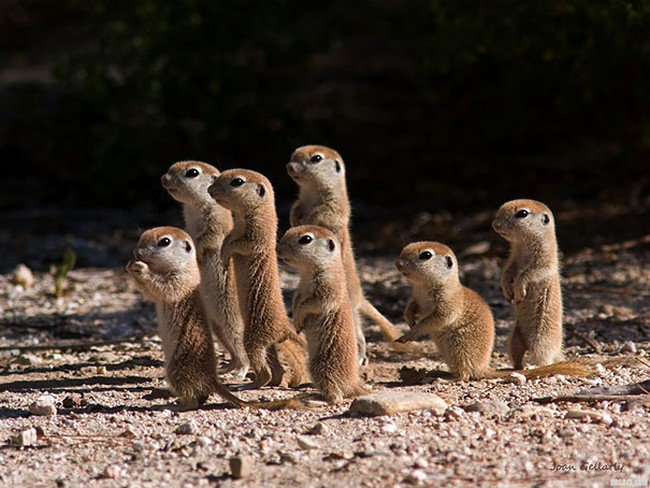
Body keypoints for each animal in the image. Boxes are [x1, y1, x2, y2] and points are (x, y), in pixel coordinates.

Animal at [288, 145, 400, 362]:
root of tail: (360, 296)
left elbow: (322, 216)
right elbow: (294, 209)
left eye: (316, 158)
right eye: (293, 154)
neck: (311, 193)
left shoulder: (333, 207)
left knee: (358, 332)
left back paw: (360, 356)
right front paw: (295, 221)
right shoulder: (299, 203)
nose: (289, 166)